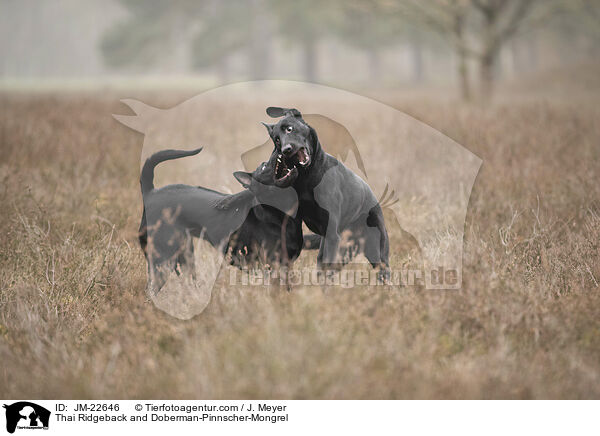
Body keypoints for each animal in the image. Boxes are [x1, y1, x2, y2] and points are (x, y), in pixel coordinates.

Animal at [137, 148, 314, 294]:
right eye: (263, 167)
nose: (279, 149)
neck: (282, 213)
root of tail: (150, 193)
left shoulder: (287, 265)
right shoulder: (271, 266)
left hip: (185, 257)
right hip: (163, 261)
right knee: (151, 290)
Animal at [262, 107, 392, 282]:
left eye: (289, 128)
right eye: (276, 140)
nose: (286, 150)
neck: (307, 178)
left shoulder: (332, 235)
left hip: (375, 251)